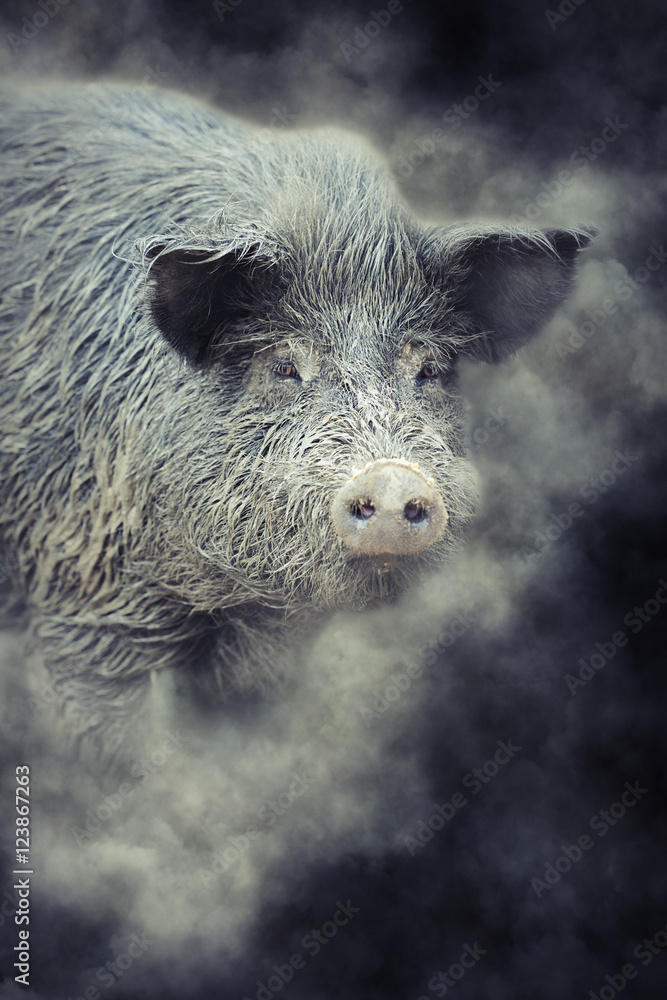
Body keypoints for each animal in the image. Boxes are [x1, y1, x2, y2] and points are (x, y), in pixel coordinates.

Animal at [0, 80, 593, 760]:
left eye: (430, 369)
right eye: (283, 365)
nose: (393, 477)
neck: (228, 597)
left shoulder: (274, 644)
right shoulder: (81, 598)